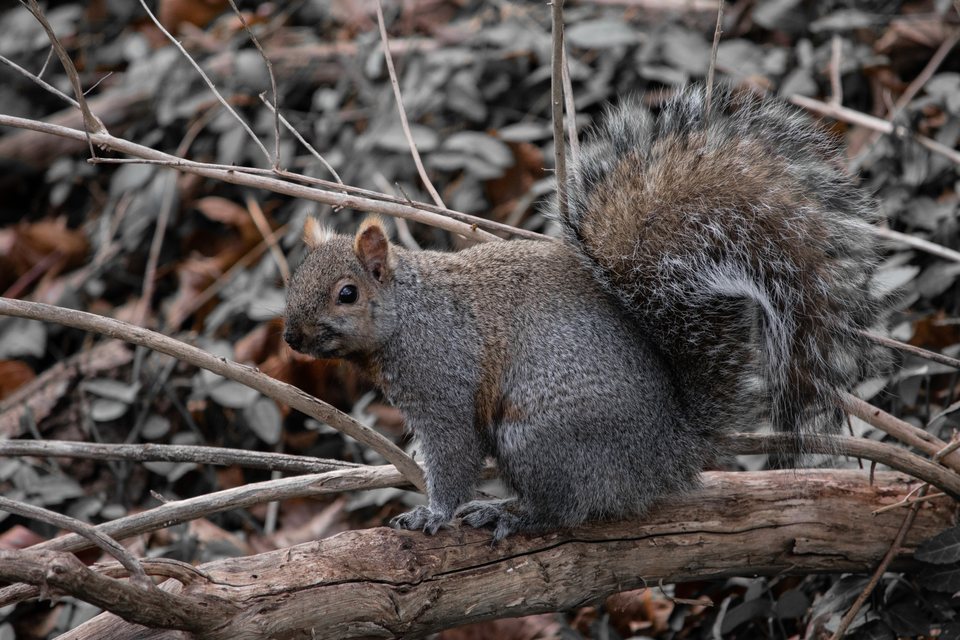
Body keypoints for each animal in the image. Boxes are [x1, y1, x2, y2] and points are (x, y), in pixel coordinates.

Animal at [283, 84, 883, 541]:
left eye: (346, 294)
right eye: (292, 278)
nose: (291, 337)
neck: (408, 314)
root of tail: (669, 455)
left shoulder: (443, 380)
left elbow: (453, 454)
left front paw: (433, 514)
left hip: (538, 438)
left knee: (565, 509)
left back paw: (511, 514)